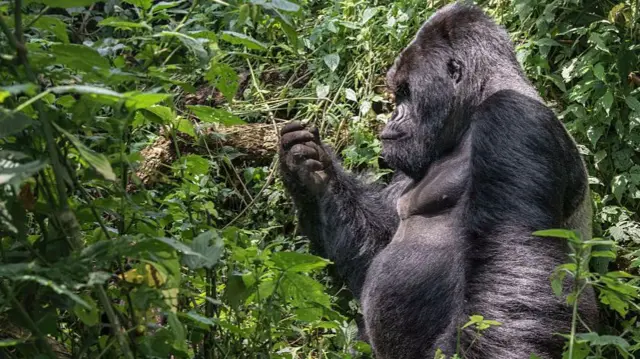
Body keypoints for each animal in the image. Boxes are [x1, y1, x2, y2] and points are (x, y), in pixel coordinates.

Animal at [278, 3, 600, 359]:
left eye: (405, 92)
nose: (392, 118)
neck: (475, 105)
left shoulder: (513, 119)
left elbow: (514, 271)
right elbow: (377, 245)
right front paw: (311, 172)